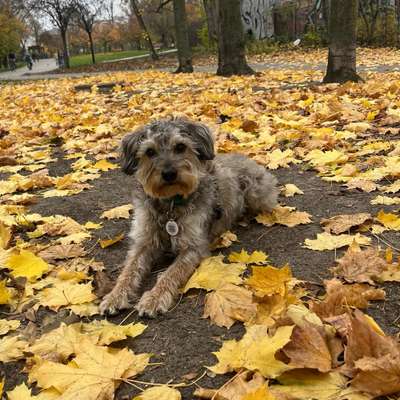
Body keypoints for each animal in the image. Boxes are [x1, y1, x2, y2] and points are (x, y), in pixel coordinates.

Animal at [99, 117, 278, 318]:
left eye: (180, 146)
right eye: (149, 151)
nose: (169, 174)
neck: (169, 205)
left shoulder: (193, 246)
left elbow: (170, 273)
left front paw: (154, 298)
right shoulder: (143, 241)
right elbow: (129, 270)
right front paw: (114, 296)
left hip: (256, 192)